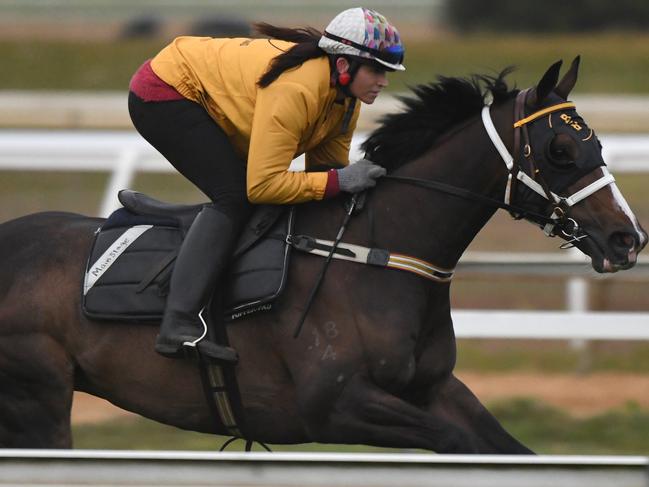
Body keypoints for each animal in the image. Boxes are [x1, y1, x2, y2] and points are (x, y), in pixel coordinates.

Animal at [0, 60, 644, 454]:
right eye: (560, 149)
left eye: (594, 141)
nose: (627, 238)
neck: (377, 252)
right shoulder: (336, 404)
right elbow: (454, 442)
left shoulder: (433, 388)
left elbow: (509, 449)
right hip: (38, 400)